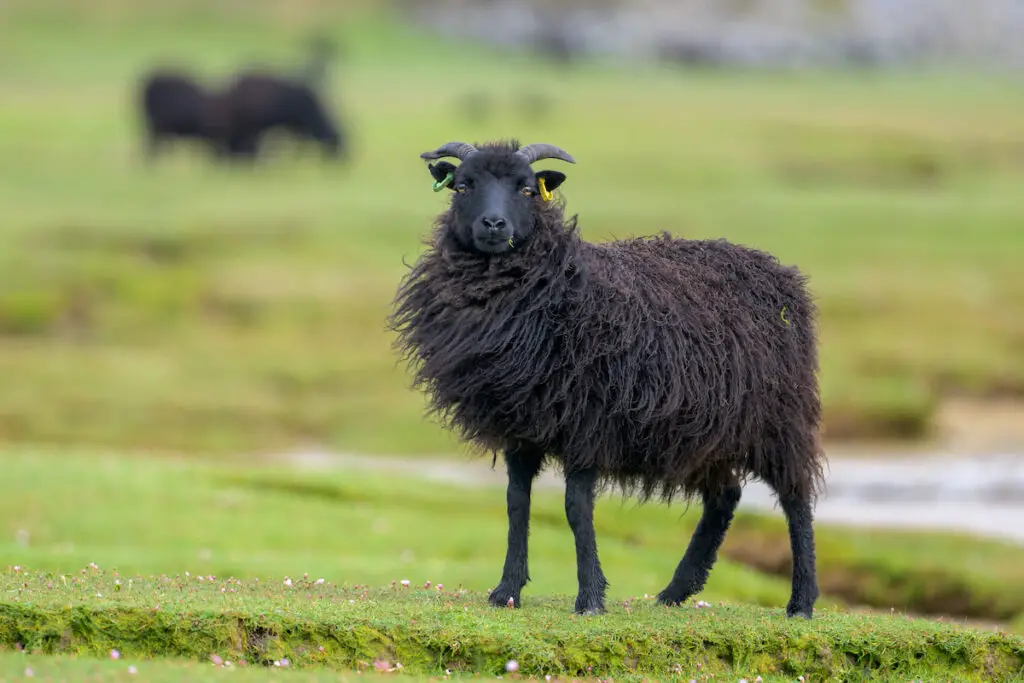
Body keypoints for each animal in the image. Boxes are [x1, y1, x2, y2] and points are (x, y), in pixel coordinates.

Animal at [387, 139, 827, 618]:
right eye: (464, 185)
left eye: (527, 189)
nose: (493, 224)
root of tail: (783, 277)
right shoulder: (520, 427)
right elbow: (516, 504)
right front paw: (506, 591)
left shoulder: (586, 424)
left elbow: (576, 508)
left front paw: (590, 598)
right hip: (707, 431)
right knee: (725, 496)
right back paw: (676, 591)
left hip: (778, 417)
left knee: (796, 498)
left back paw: (801, 601)